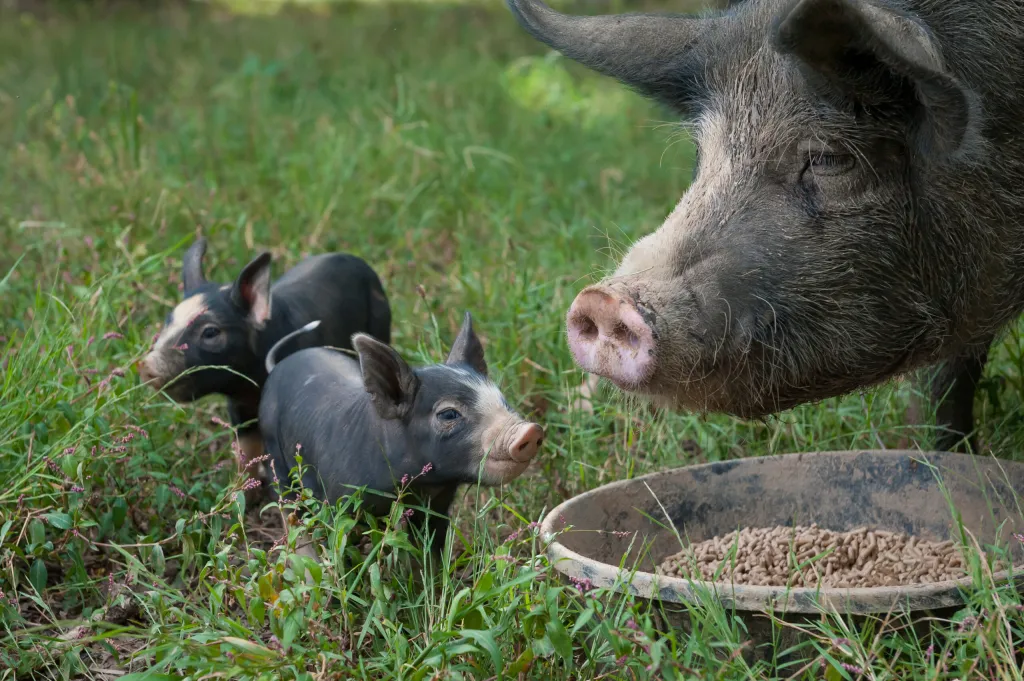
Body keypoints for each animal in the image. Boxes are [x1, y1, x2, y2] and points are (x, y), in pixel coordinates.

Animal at [138, 238, 392, 484]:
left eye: (210, 332)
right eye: (168, 321)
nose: (146, 365)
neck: (252, 385)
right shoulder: (238, 409)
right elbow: (246, 453)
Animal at [259, 312, 545, 555]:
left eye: (500, 398)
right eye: (449, 414)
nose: (530, 430)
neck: (418, 486)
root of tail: (277, 365)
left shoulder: (436, 505)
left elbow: (430, 549)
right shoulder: (339, 506)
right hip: (276, 456)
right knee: (289, 509)